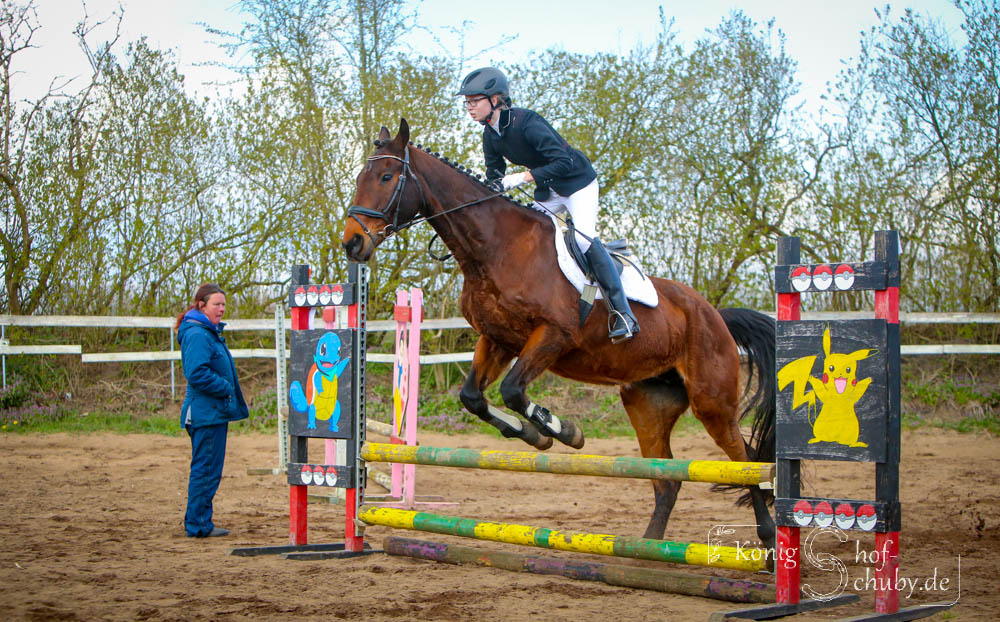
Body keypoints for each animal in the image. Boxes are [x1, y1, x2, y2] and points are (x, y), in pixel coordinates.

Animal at [342, 119, 777, 553]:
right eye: (360, 177)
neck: (495, 248)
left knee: (746, 462)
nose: (352, 243)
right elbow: (473, 397)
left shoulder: (553, 335)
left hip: (712, 401)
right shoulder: (499, 339)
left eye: (386, 177)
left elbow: (513, 391)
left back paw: (769, 540)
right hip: (648, 404)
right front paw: (533, 437)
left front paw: (564, 432)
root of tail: (713, 313)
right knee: (667, 479)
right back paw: (647, 552)